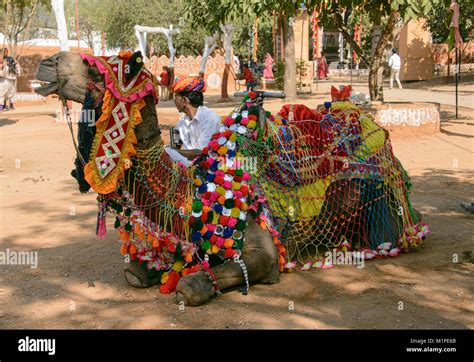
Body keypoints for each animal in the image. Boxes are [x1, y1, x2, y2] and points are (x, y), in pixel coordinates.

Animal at [35, 51, 428, 306]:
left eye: (99, 69)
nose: (48, 62)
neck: (192, 190)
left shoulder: (267, 252)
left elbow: (197, 284)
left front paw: (192, 283)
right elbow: (136, 270)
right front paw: (148, 270)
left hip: (384, 206)